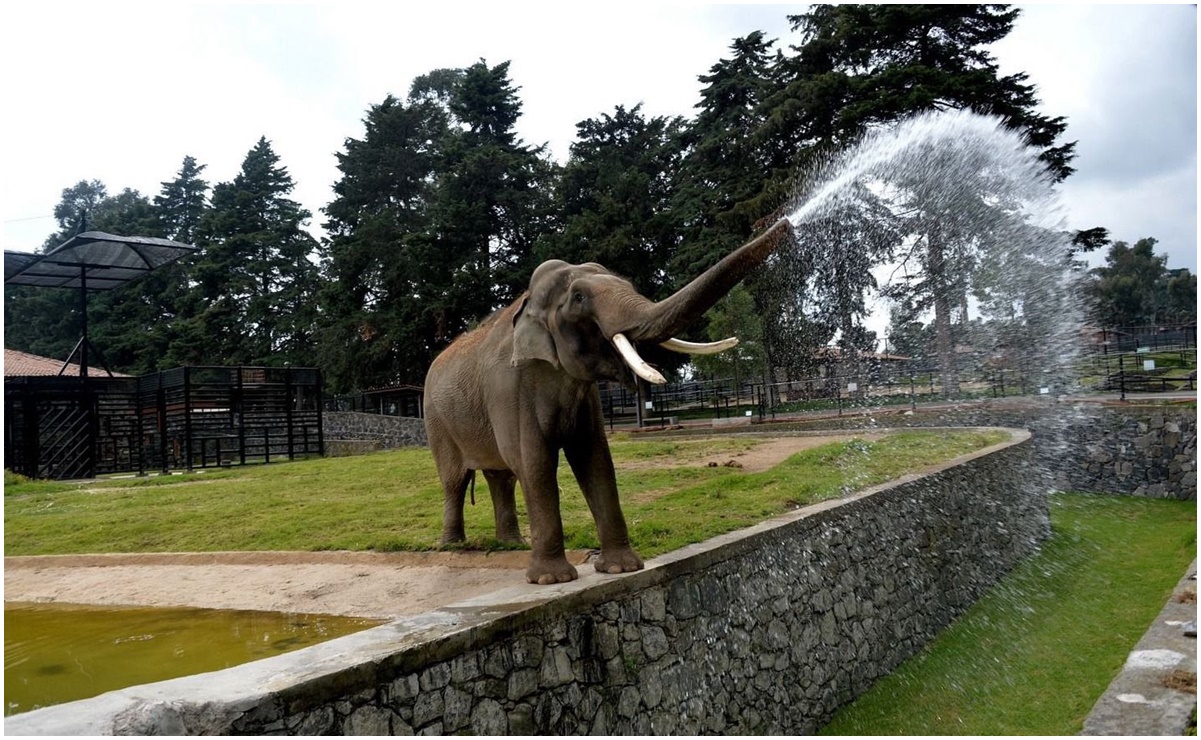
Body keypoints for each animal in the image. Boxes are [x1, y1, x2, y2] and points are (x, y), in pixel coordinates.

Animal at [427, 218, 792, 583]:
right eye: (578, 298)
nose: (787, 222)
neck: (526, 302)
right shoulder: (509, 390)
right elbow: (535, 462)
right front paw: (552, 579)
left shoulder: (585, 397)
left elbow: (596, 459)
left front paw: (620, 568)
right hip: (437, 423)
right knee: (455, 481)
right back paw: (454, 546)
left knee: (500, 477)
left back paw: (512, 544)